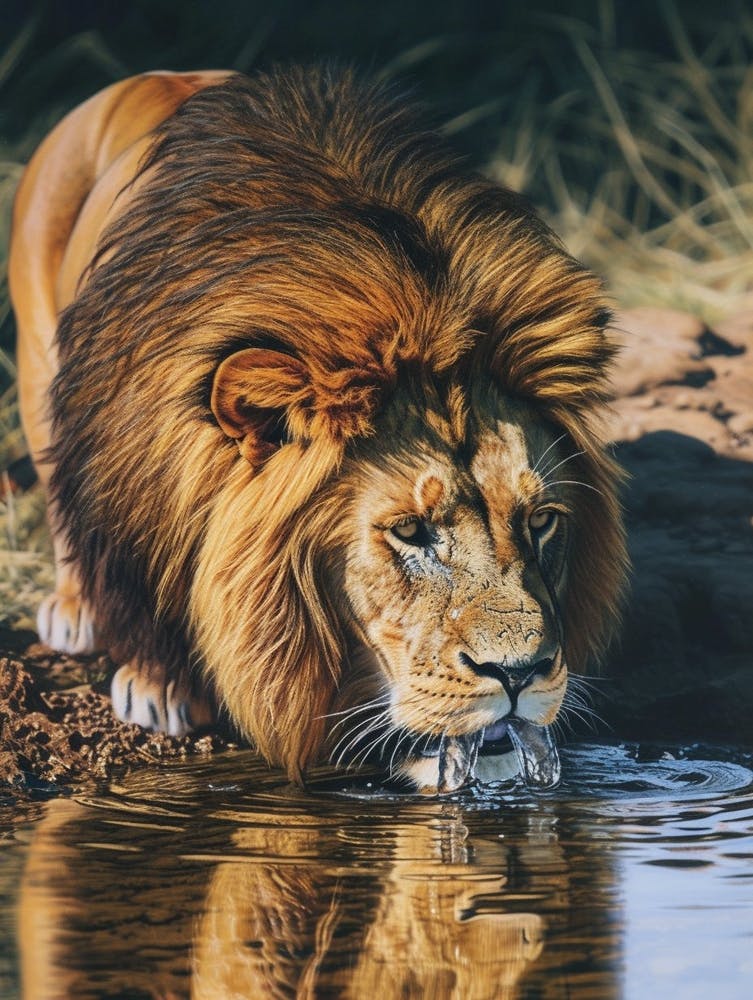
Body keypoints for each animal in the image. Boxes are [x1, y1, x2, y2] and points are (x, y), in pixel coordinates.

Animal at [9, 65, 627, 792]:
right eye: (410, 532)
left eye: (540, 521)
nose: (519, 674)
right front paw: (157, 687)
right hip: (38, 367)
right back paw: (74, 612)